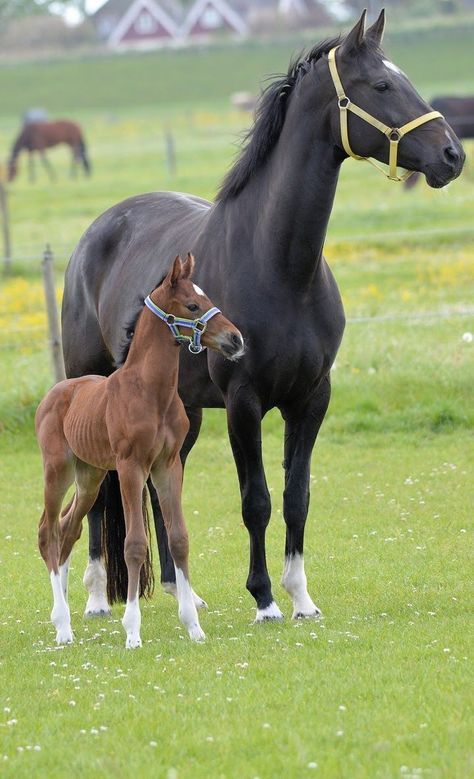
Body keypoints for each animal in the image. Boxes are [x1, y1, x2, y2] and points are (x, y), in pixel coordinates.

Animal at [34, 254, 244, 644]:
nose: (235, 339)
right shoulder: (131, 467)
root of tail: (55, 392)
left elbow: (179, 538)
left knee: (68, 528)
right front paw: (132, 631)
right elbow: (134, 544)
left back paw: (66, 612)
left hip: (90, 476)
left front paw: (194, 626)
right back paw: (62, 625)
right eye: (193, 305)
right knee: (47, 531)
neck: (150, 391)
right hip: (58, 471)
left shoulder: (167, 465)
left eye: (207, 297)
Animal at [61, 9, 464, 624]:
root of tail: (96, 233)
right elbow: (256, 500)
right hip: (98, 386)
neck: (281, 268)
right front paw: (265, 599)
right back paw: (96, 597)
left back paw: (183, 592)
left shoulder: (312, 398)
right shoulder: (243, 402)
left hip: (181, 411)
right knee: (101, 487)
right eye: (381, 85)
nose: (452, 156)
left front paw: (301, 597)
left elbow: (297, 497)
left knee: (159, 485)